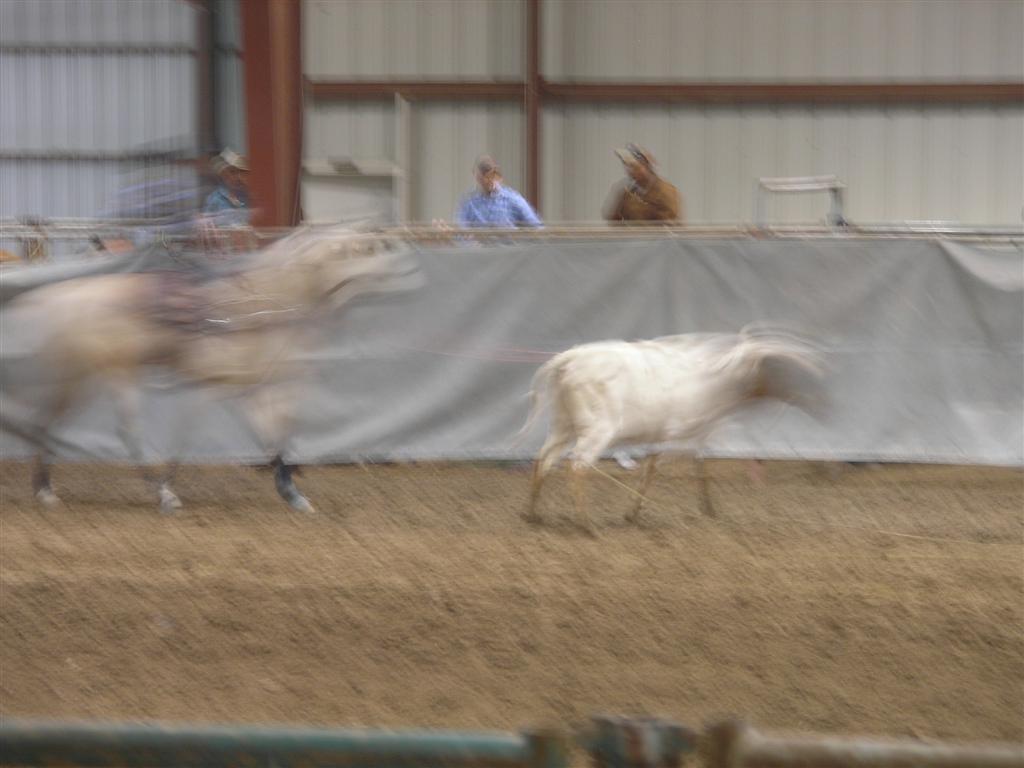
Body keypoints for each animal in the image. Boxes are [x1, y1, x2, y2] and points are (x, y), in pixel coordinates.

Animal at [3, 228, 419, 518]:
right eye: (366, 250)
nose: (407, 270)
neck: (259, 305)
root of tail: (71, 293)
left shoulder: (248, 387)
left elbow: (272, 438)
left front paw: (293, 495)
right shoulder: (213, 386)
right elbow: (185, 440)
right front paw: (169, 491)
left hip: (85, 376)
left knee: (49, 419)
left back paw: (45, 490)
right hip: (115, 373)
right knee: (124, 430)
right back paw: (152, 494)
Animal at [520, 331, 823, 528]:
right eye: (777, 368)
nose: (806, 398)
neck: (711, 381)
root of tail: (567, 361)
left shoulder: (686, 436)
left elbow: (691, 468)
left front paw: (707, 509)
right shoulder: (678, 435)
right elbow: (661, 468)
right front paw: (635, 511)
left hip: (563, 424)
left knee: (543, 460)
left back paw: (533, 514)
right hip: (597, 431)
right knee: (577, 466)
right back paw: (586, 524)